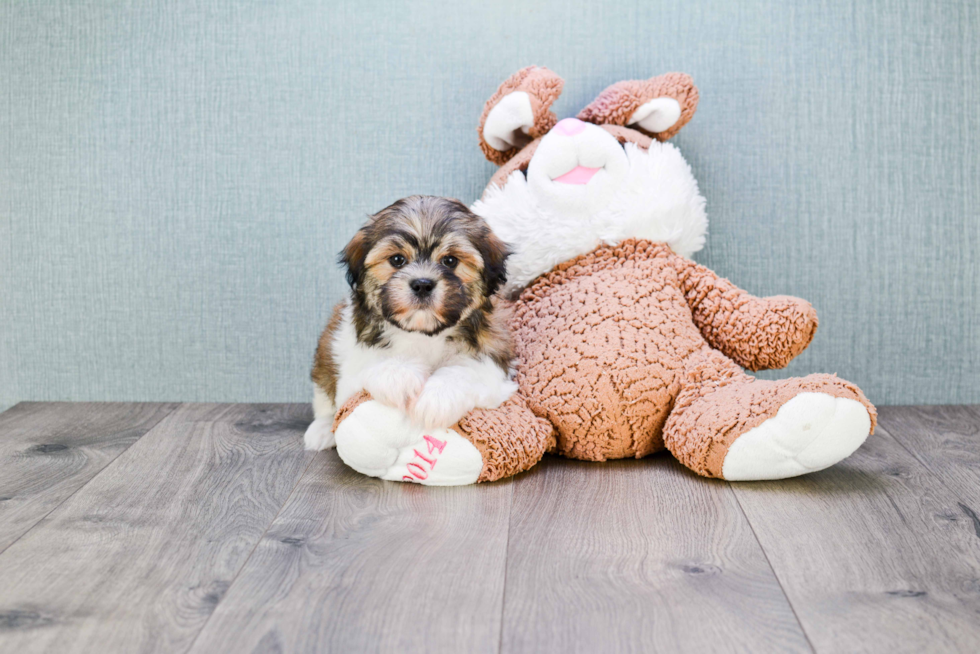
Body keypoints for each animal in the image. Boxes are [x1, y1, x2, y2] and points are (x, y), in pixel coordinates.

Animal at [304, 195, 520, 452]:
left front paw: (438, 398)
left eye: (450, 261)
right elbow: (372, 362)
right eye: (397, 260)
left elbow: (467, 370)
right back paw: (321, 430)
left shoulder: (493, 356)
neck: (422, 332)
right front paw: (399, 376)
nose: (422, 284)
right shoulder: (352, 362)